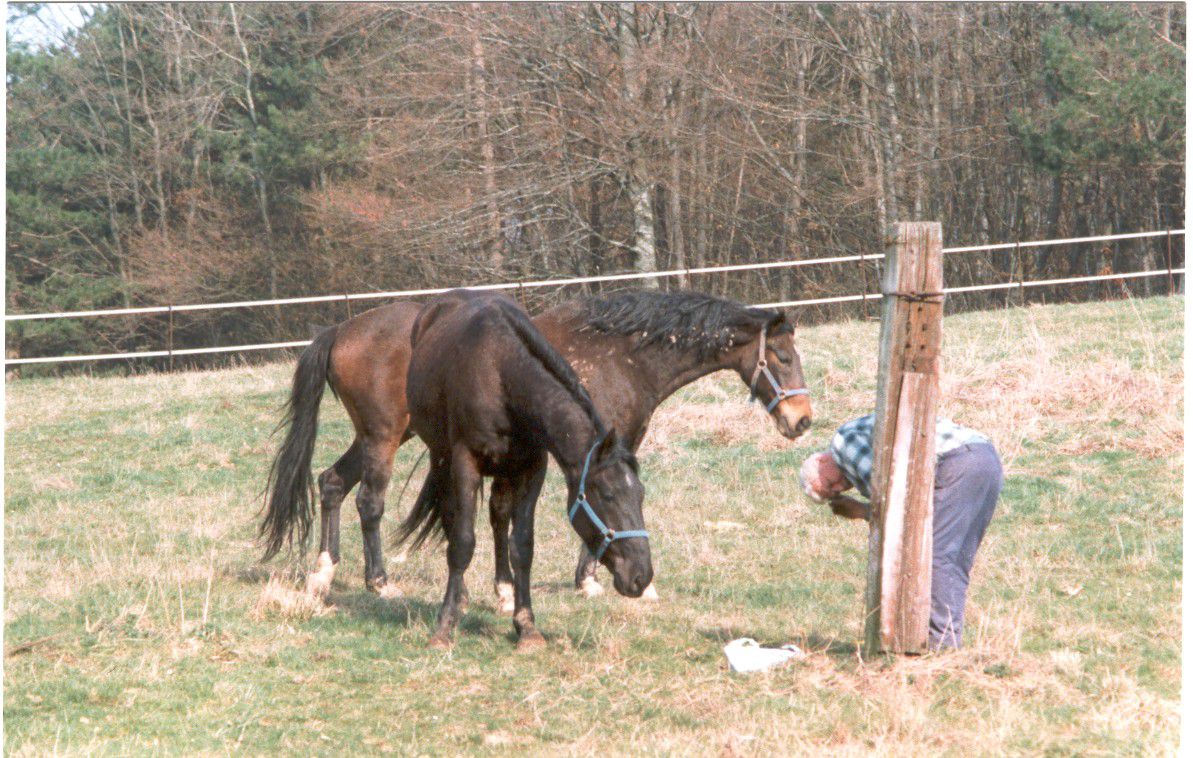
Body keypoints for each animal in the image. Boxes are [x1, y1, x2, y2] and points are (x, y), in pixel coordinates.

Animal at [260, 289, 811, 605]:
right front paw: (589, 580)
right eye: (783, 357)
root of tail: (341, 330)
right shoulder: (591, 454)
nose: (802, 420)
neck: (621, 356)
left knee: (331, 483)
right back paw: (378, 580)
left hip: (375, 438)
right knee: (368, 502)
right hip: (383, 438)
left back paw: (323, 573)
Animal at [399, 289, 651, 649]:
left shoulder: (533, 467)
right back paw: (460, 598)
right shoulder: (465, 461)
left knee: (498, 517)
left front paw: (527, 627)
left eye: (640, 494)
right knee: (450, 518)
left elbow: (522, 545)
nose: (641, 576)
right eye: (606, 494)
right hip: (441, 456)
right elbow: (462, 542)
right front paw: (444, 627)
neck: (502, 374)